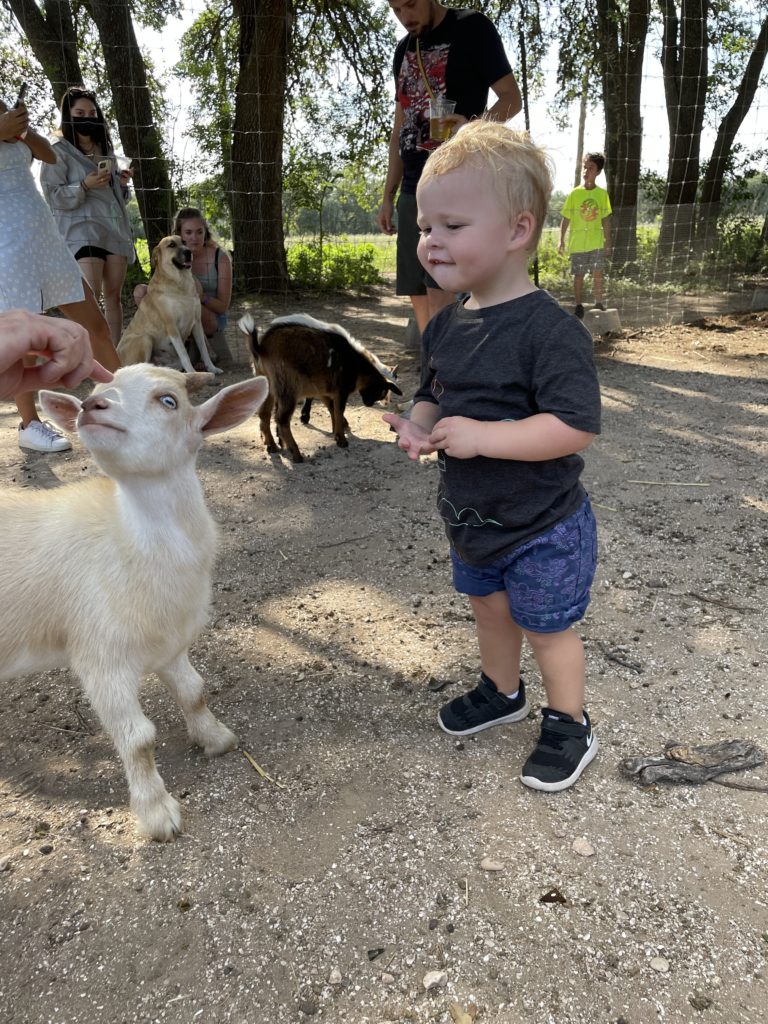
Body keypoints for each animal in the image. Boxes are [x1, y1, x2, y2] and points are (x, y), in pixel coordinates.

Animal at [0, 366, 270, 839]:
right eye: (93, 391)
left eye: (169, 401)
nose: (93, 406)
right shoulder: (100, 657)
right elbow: (138, 738)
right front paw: (158, 813)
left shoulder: (170, 643)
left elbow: (194, 692)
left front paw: (215, 738)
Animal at [116, 234, 222, 374]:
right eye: (171, 245)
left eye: (184, 242)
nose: (189, 252)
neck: (179, 283)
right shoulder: (172, 327)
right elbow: (184, 354)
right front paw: (192, 372)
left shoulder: (197, 323)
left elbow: (203, 349)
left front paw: (212, 368)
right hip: (145, 339)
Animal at [240, 311, 403, 464]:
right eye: (382, 391)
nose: (369, 404)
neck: (357, 366)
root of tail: (260, 347)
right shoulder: (340, 390)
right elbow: (338, 410)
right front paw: (342, 439)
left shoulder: (323, 389)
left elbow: (331, 408)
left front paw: (337, 431)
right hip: (288, 387)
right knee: (282, 418)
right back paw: (296, 454)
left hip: (267, 385)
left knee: (264, 414)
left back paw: (272, 445)